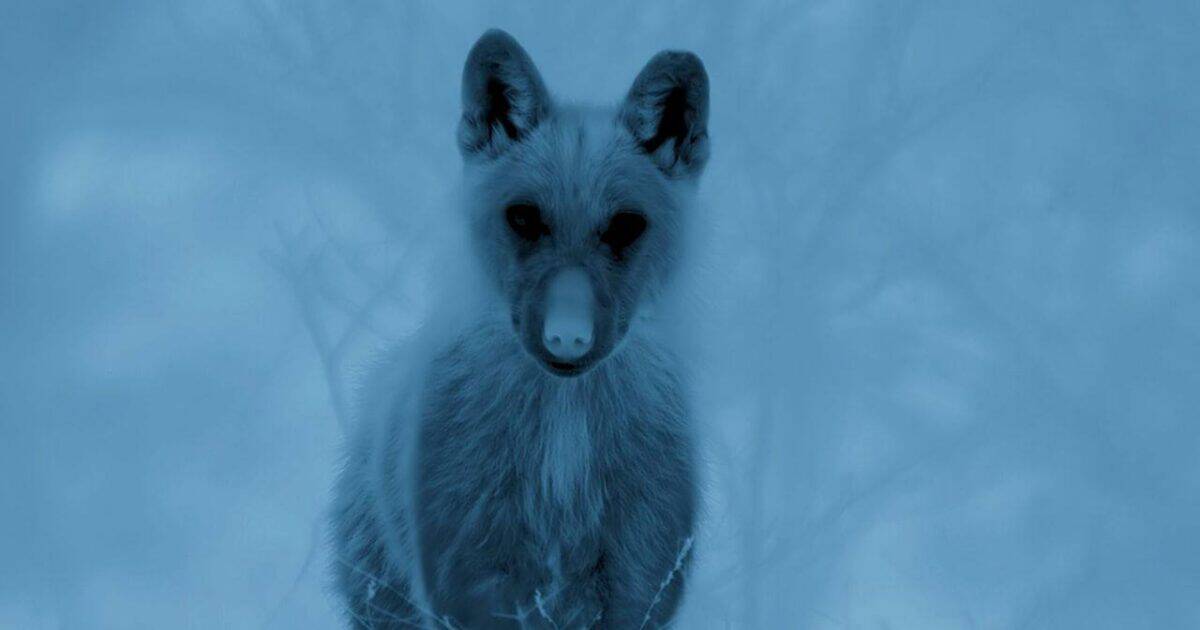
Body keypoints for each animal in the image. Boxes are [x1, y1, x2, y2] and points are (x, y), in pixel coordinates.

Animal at [331, 29, 710, 629]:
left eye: (625, 226)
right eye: (525, 218)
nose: (567, 337)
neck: (560, 468)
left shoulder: (635, 592)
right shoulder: (471, 589)